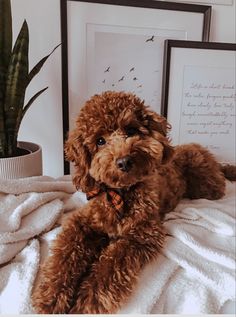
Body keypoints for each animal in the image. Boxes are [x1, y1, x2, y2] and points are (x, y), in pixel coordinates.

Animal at [31, 90, 232, 312]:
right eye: (100, 141)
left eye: (131, 130)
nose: (124, 161)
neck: (120, 194)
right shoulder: (83, 223)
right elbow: (65, 254)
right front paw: (51, 294)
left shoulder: (140, 234)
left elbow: (111, 263)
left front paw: (89, 299)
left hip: (206, 186)